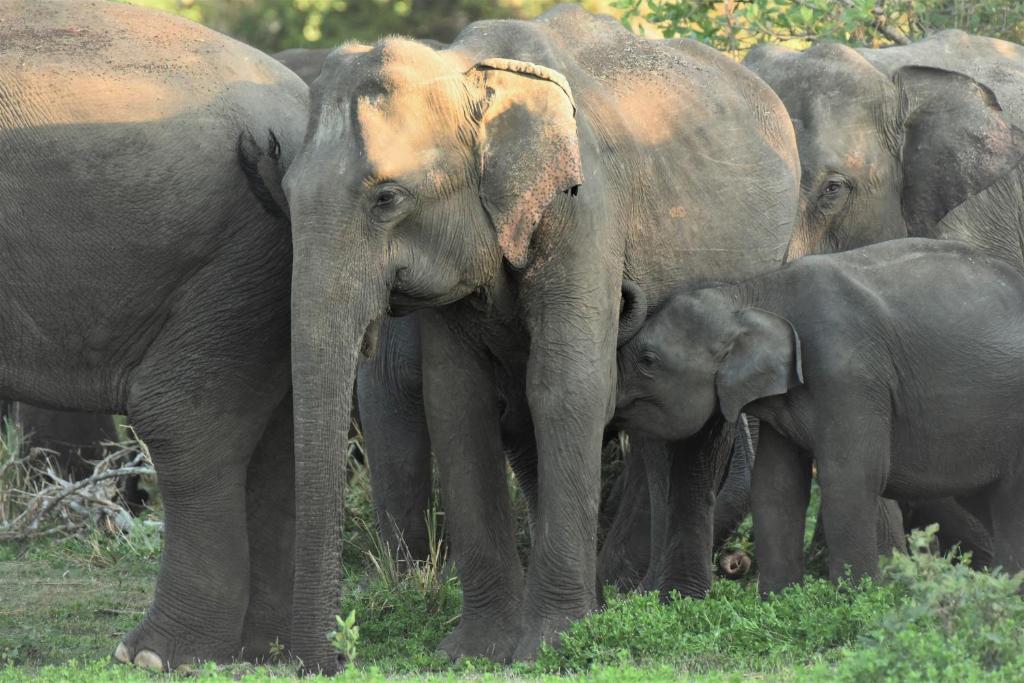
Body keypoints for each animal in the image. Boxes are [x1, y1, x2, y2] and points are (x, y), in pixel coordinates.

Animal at [282, 5, 798, 662]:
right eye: (287, 195)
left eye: (387, 198)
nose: (338, 656)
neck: (466, 74)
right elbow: (456, 403)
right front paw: (475, 651)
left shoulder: (584, 211)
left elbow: (567, 388)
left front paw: (550, 643)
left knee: (698, 428)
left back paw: (671, 601)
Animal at [615, 238, 1024, 594]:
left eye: (648, 360)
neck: (752, 294)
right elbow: (776, 485)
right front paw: (780, 600)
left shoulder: (848, 374)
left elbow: (851, 476)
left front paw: (854, 600)